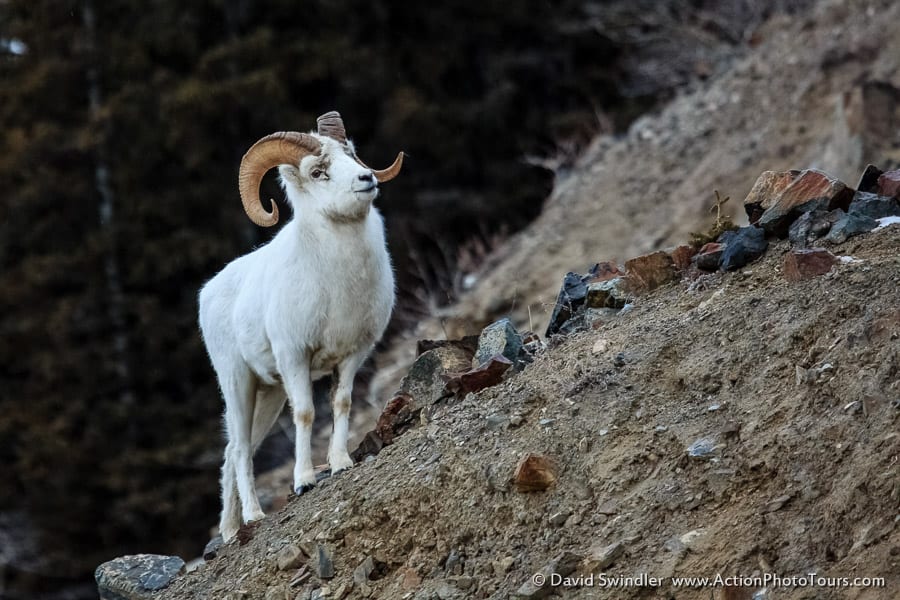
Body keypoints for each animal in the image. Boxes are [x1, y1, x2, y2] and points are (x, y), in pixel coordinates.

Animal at [202, 110, 406, 540]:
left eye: (350, 153)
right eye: (318, 172)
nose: (367, 179)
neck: (339, 281)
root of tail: (207, 293)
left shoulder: (351, 356)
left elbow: (341, 403)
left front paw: (341, 463)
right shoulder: (295, 358)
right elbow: (308, 415)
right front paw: (304, 481)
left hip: (269, 394)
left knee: (235, 451)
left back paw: (230, 530)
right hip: (238, 382)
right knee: (240, 449)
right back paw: (254, 517)